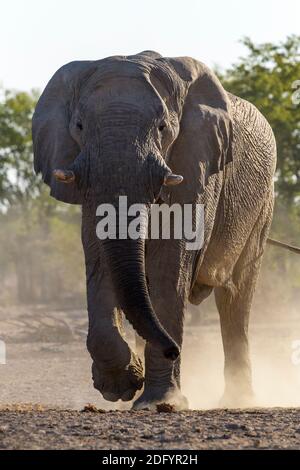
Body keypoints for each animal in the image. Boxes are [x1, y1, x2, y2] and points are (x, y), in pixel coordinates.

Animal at [32, 51, 276, 410]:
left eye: (163, 127)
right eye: (79, 127)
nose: (172, 348)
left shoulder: (197, 165)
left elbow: (170, 265)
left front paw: (161, 402)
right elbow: (99, 257)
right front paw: (121, 385)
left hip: (262, 207)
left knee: (235, 296)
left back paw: (238, 400)